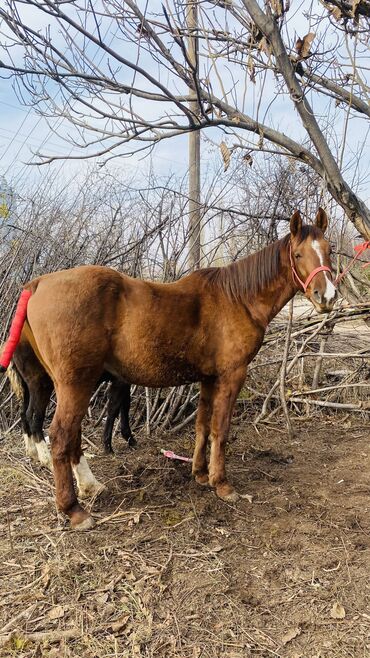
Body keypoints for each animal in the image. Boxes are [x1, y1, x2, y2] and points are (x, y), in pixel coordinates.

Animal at [15, 210, 336, 528]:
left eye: (329, 249)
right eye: (298, 254)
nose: (327, 296)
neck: (238, 299)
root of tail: (38, 284)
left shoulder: (209, 378)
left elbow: (203, 425)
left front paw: (201, 474)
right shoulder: (232, 375)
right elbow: (220, 429)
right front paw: (222, 484)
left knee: (72, 435)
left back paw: (90, 486)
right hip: (75, 384)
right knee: (60, 436)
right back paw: (73, 509)